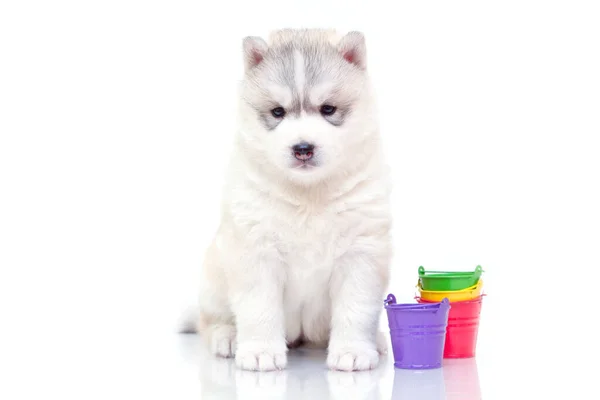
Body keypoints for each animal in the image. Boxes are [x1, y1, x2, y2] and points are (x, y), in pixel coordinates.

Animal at [188, 28, 394, 372]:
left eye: (328, 109)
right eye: (278, 112)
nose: (303, 148)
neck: (309, 195)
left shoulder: (361, 254)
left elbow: (356, 309)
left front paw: (353, 350)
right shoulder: (255, 252)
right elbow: (258, 309)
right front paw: (260, 351)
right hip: (213, 279)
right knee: (210, 320)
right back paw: (227, 337)